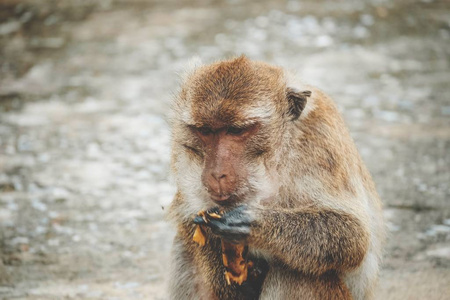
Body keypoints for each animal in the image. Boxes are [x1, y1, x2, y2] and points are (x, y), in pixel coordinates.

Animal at [167, 56, 384, 300]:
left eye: (236, 131)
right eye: (205, 131)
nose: (216, 173)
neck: (273, 159)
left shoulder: (321, 143)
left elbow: (353, 235)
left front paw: (251, 222)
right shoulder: (182, 156)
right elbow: (187, 215)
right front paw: (230, 284)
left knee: (294, 274)